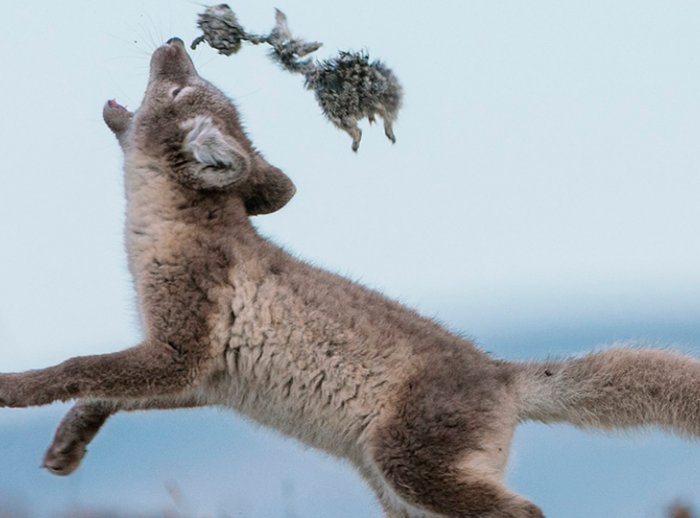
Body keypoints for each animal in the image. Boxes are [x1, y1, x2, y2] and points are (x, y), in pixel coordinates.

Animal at [4, 37, 700, 518]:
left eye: (181, 90)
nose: (178, 39)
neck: (167, 227)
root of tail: (505, 375)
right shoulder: (198, 379)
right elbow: (103, 393)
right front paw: (68, 446)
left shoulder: (179, 351)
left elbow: (76, 368)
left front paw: (13, 388)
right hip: (401, 495)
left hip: (409, 471)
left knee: (527, 511)